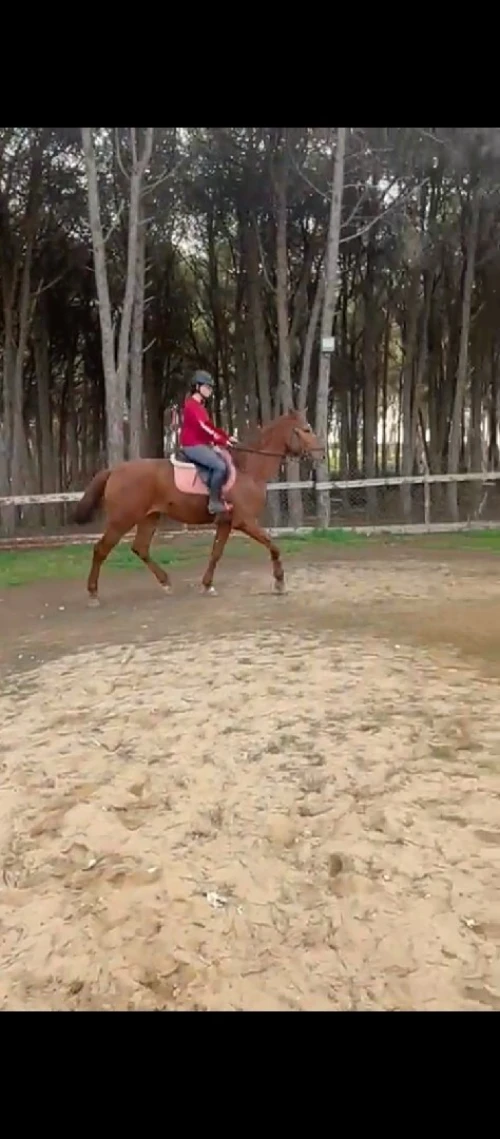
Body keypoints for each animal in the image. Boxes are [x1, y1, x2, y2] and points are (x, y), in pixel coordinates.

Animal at [73, 408, 324, 605]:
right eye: (306, 429)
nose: (322, 455)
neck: (248, 469)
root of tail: (114, 470)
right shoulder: (245, 522)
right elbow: (273, 546)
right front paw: (280, 582)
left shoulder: (226, 522)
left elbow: (216, 553)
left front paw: (207, 585)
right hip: (122, 520)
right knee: (101, 550)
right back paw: (93, 593)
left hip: (149, 517)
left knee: (140, 548)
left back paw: (166, 582)